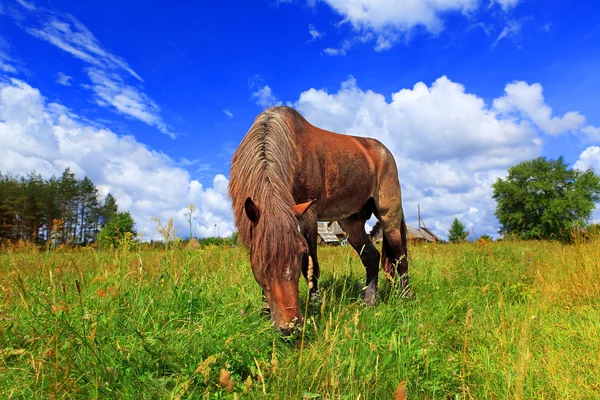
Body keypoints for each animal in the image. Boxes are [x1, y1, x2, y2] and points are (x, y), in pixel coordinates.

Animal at [227, 105, 410, 334]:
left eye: (299, 253)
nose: (291, 326)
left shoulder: (309, 216)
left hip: (389, 215)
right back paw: (369, 299)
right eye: (261, 258)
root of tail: (384, 151)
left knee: (400, 256)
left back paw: (405, 297)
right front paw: (266, 311)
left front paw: (314, 304)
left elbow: (311, 266)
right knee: (371, 256)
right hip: (351, 223)